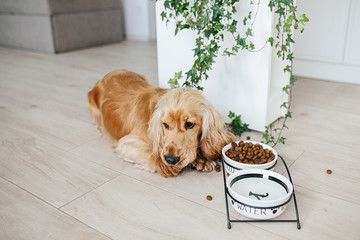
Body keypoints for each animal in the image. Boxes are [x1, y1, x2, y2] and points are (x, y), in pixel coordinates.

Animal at [88, 69, 235, 176]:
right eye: (165, 125)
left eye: (189, 124)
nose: (171, 159)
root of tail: (108, 74)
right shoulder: (126, 143)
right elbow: (151, 154)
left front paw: (203, 160)